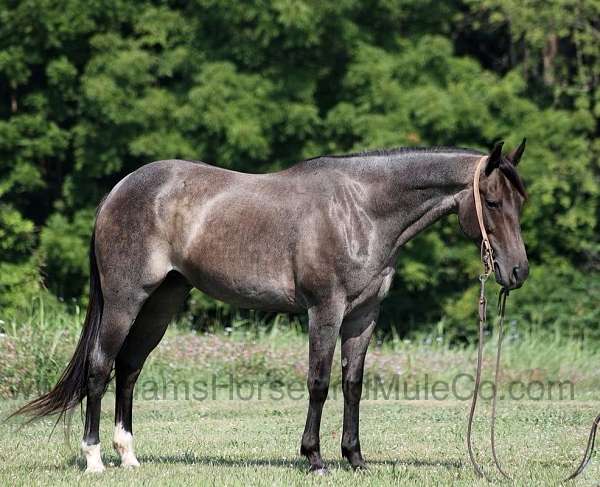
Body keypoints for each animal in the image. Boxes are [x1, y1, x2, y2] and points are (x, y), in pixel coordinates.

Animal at [14, 139, 528, 474]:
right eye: (492, 200)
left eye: (519, 201)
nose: (518, 272)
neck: (361, 209)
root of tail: (117, 192)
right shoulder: (325, 309)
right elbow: (319, 383)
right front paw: (315, 458)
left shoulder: (364, 316)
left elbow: (353, 385)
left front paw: (356, 458)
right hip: (125, 300)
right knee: (101, 367)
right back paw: (95, 460)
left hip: (161, 302)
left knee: (129, 369)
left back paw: (129, 456)